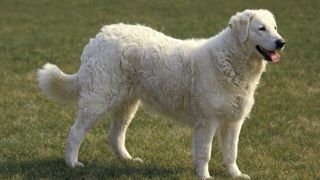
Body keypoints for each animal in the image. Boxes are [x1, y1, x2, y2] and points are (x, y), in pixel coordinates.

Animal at [37, 9, 284, 179]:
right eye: (261, 28)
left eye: (275, 27)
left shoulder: (233, 121)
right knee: (76, 132)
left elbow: (232, 153)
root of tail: (98, 37)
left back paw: (128, 160)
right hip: (98, 100)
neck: (232, 60)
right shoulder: (208, 121)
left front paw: (236, 175)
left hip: (128, 104)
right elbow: (204, 153)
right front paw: (205, 176)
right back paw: (72, 163)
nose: (281, 42)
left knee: (115, 135)